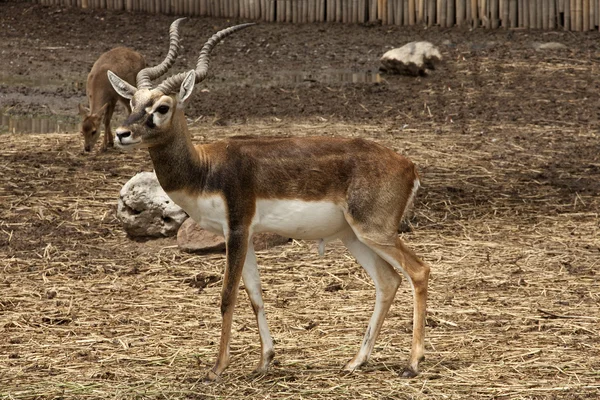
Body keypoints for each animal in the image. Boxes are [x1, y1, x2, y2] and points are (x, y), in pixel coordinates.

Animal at [79, 17, 185, 152]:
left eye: (94, 131)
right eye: (82, 131)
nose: (87, 148)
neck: (99, 81)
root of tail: (138, 55)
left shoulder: (113, 99)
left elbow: (106, 120)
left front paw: (104, 146)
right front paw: (109, 142)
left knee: (129, 110)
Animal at [106, 22, 426, 382]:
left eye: (162, 107)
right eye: (132, 101)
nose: (121, 134)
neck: (206, 167)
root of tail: (409, 165)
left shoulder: (236, 229)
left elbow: (227, 295)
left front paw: (217, 368)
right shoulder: (244, 235)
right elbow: (255, 295)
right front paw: (264, 361)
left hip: (375, 232)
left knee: (419, 271)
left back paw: (412, 364)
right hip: (354, 237)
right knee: (388, 281)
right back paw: (355, 362)